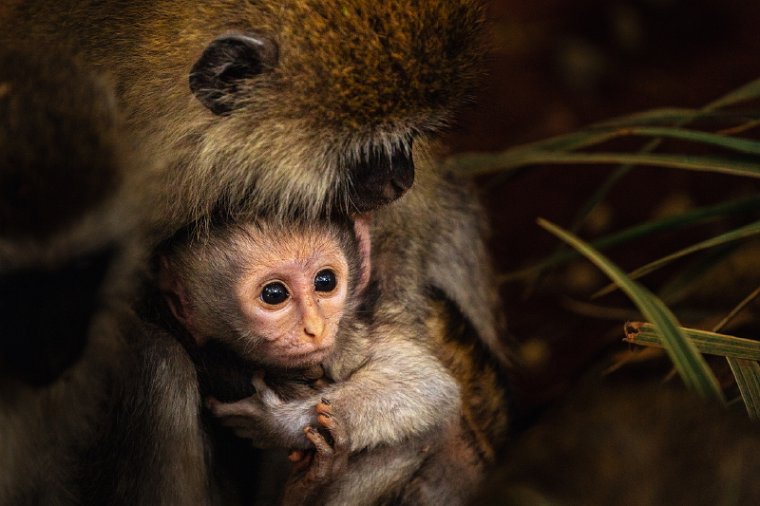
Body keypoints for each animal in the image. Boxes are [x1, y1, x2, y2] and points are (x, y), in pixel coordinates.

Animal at [159, 218, 476, 506]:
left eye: (325, 281)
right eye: (274, 294)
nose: (316, 327)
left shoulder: (350, 334)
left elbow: (427, 383)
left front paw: (278, 423)